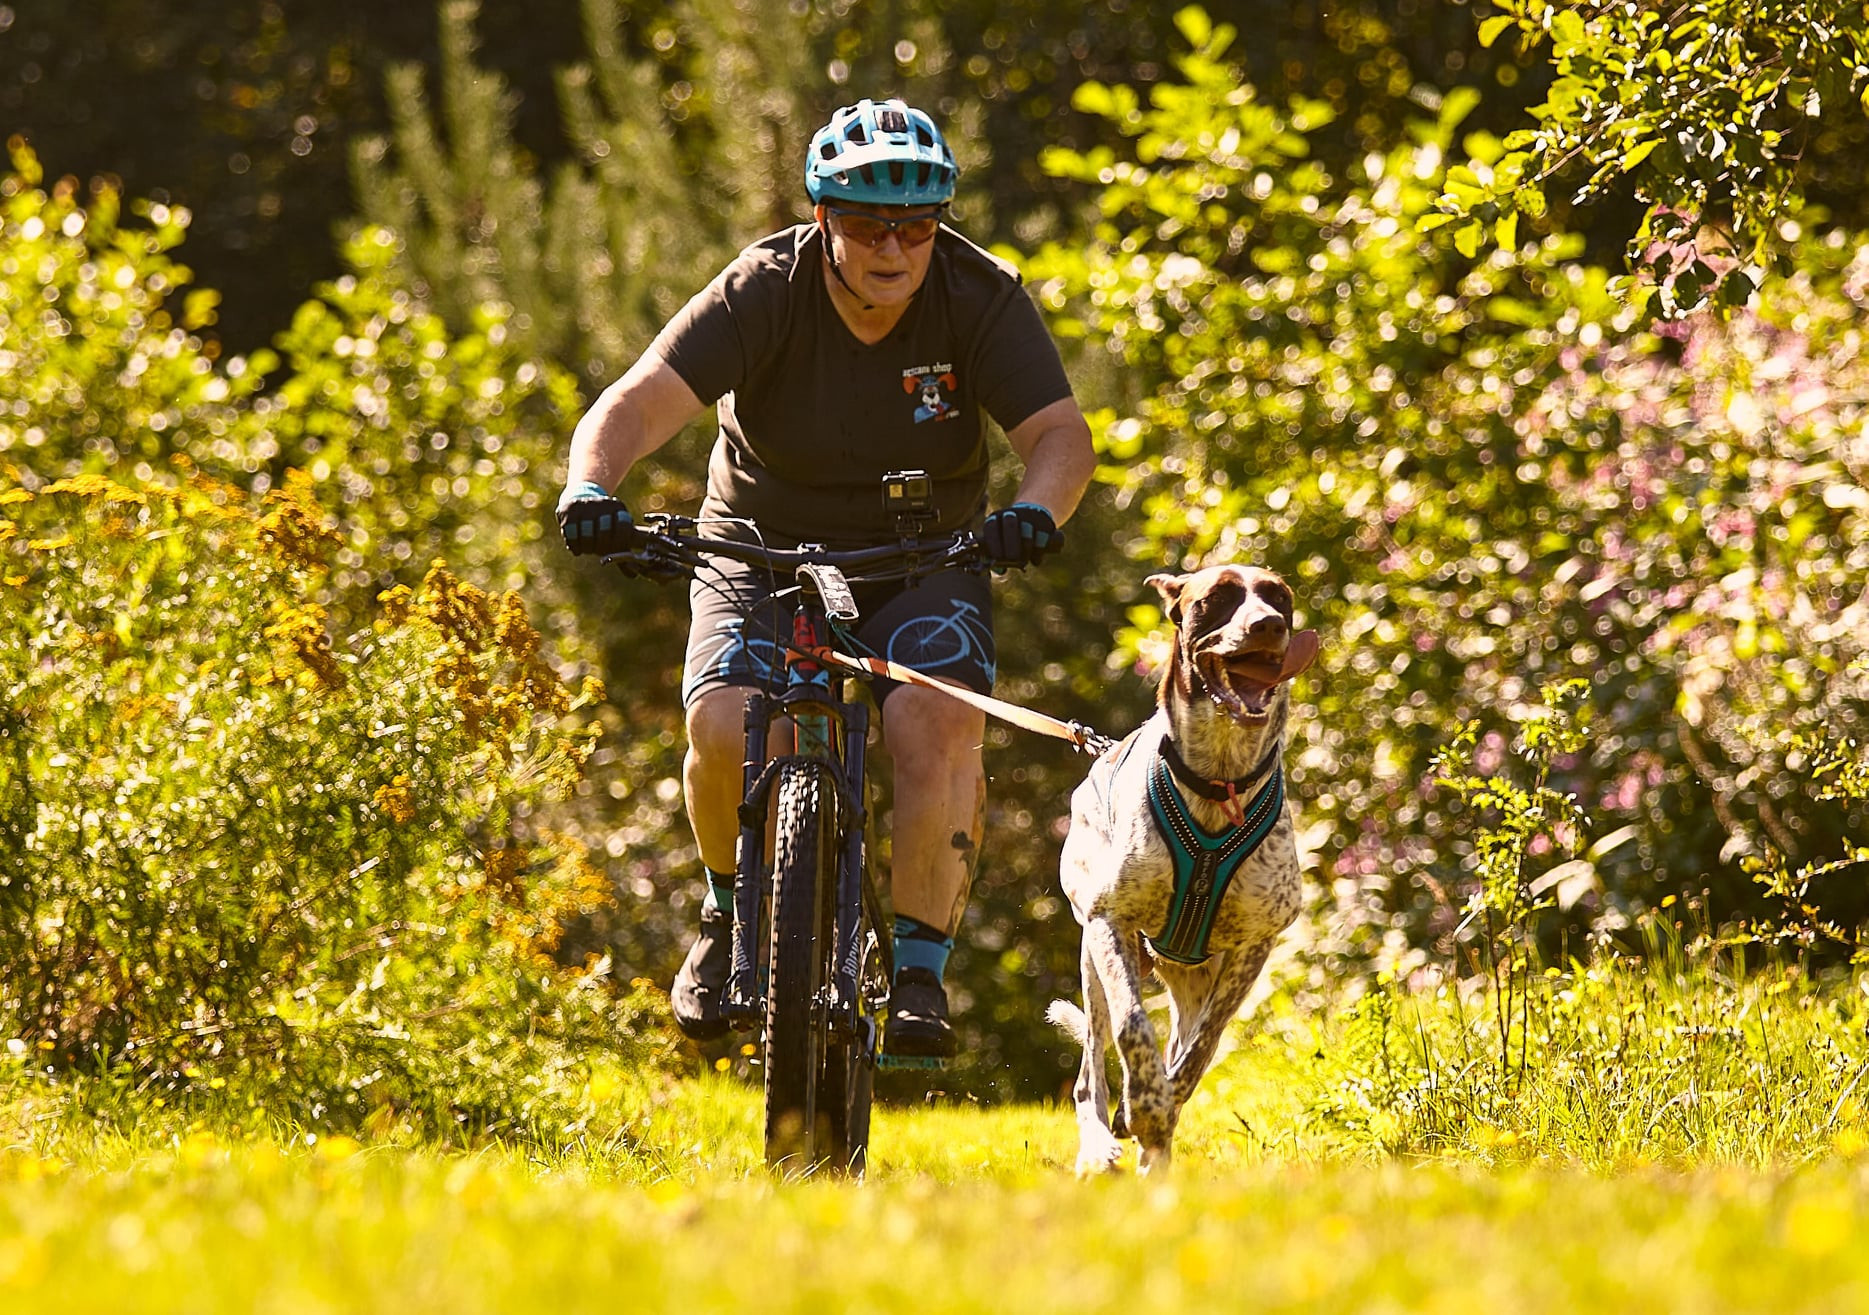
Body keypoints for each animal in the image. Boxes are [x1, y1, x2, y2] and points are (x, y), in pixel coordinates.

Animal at [1046, 560, 1323, 1173]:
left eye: (1279, 598)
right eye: (1216, 598)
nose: (1268, 626)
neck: (1220, 778)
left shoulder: (1253, 946)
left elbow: (1202, 1050)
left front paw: (1156, 1110)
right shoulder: (1111, 923)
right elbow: (1132, 1026)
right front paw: (1143, 1107)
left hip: (1193, 979)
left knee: (1181, 1045)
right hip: (1090, 954)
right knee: (1090, 1068)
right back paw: (1099, 1147)